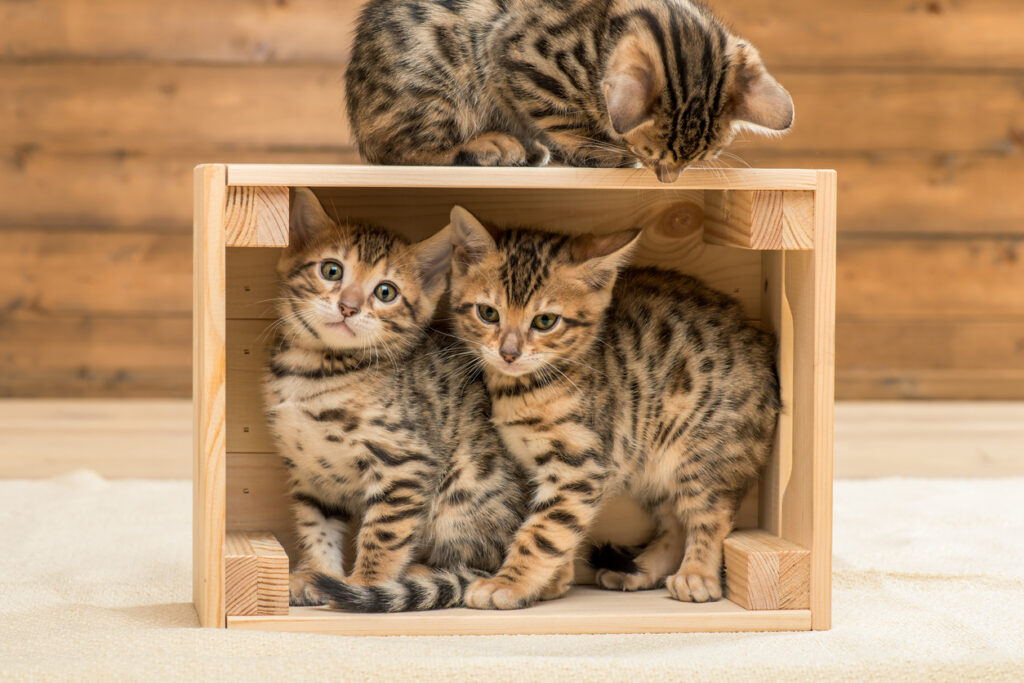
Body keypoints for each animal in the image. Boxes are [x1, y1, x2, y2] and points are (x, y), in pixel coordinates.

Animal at [264, 189, 528, 610]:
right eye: (332, 271)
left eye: (385, 292)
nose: (348, 306)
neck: (316, 369)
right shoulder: (310, 470)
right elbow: (316, 524)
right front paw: (316, 573)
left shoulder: (405, 462)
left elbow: (383, 534)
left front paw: (364, 585)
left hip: (464, 485)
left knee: (479, 564)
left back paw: (423, 573)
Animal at [344, 0, 790, 181]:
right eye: (650, 153)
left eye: (703, 158)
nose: (668, 179)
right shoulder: (516, 54)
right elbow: (562, 115)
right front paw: (601, 150)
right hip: (433, 79)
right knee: (399, 150)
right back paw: (491, 146)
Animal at [444, 206, 778, 610]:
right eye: (488, 313)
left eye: (545, 321)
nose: (509, 353)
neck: (523, 389)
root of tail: (762, 343)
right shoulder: (541, 467)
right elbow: (561, 525)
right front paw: (554, 580)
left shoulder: (581, 463)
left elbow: (545, 531)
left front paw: (508, 583)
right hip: (650, 460)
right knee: (674, 521)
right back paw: (639, 571)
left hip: (700, 452)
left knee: (710, 516)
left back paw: (697, 575)